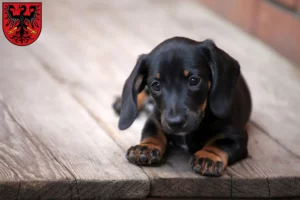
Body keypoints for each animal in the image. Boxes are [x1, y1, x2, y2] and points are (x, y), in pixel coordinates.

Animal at [113, 37, 252, 177]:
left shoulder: (236, 135)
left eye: (194, 80)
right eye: (156, 85)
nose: (175, 123)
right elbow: (152, 133)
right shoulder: (155, 120)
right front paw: (146, 147)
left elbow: (219, 143)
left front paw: (208, 156)